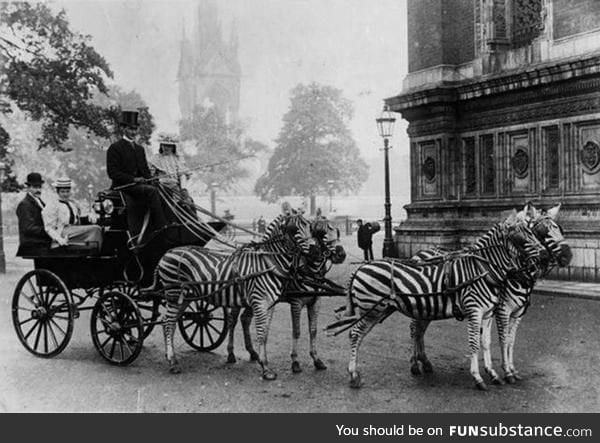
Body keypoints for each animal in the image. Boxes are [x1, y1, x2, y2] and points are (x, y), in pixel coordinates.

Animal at [156, 213, 318, 380]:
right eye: (293, 229)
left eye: (309, 226)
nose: (315, 251)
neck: (267, 264)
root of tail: (167, 252)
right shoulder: (260, 303)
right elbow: (261, 334)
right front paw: (265, 368)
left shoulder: (270, 305)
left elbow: (265, 334)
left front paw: (263, 362)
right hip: (174, 295)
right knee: (168, 323)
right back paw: (173, 362)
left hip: (183, 299)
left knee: (168, 322)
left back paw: (170, 357)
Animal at [226, 219, 346, 374]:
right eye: (321, 233)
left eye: (338, 232)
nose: (341, 254)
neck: (309, 271)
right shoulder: (296, 302)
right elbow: (296, 331)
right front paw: (295, 361)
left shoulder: (315, 301)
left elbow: (313, 331)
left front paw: (316, 359)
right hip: (239, 298)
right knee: (232, 320)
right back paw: (230, 354)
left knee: (245, 319)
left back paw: (253, 353)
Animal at [338, 213, 548, 390]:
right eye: (520, 237)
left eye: (534, 233)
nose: (544, 256)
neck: (482, 269)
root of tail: (359, 268)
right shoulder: (477, 311)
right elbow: (475, 344)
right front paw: (478, 377)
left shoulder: (488, 313)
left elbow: (487, 343)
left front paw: (494, 374)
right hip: (372, 309)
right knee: (355, 334)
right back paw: (354, 375)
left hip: (390, 309)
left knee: (402, 331)